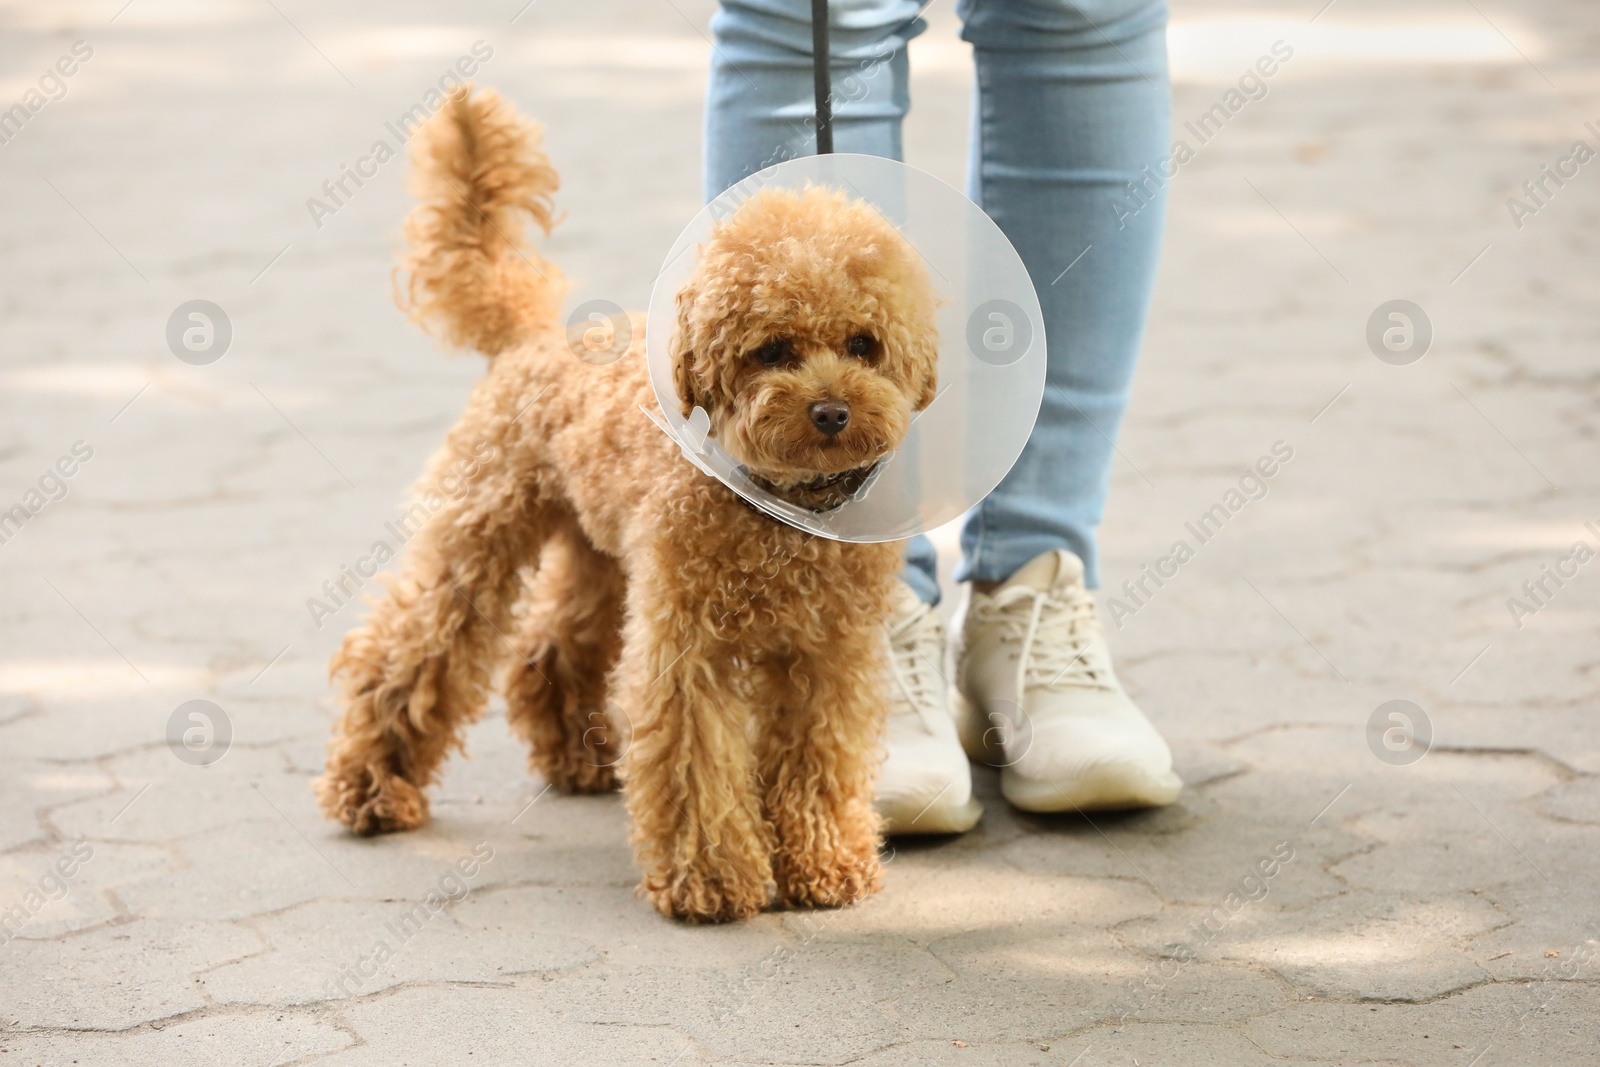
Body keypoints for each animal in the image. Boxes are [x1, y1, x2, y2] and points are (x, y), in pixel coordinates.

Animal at [313, 87, 940, 927]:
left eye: (863, 343)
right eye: (772, 350)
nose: (832, 411)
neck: (780, 510)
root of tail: (530, 337)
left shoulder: (827, 653)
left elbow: (819, 756)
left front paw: (825, 863)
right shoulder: (688, 646)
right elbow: (693, 756)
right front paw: (711, 879)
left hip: (602, 557)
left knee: (550, 645)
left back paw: (572, 755)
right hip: (482, 533)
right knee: (412, 650)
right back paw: (373, 789)